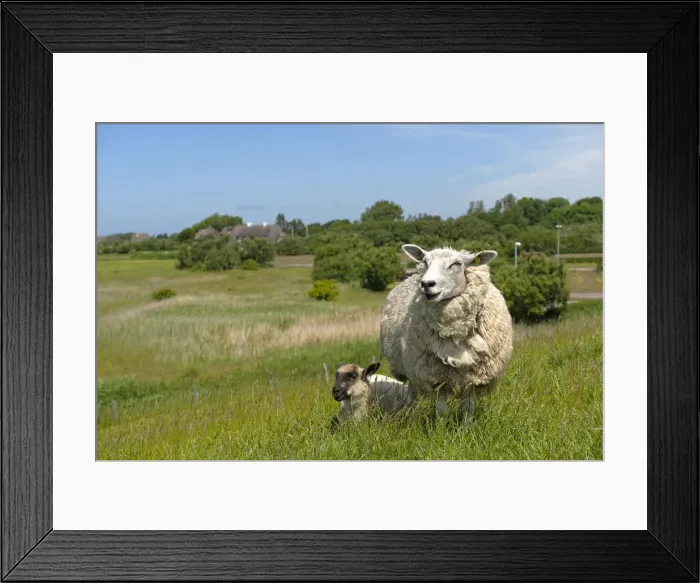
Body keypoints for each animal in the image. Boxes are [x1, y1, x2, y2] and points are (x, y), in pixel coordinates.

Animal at [379, 243, 513, 425]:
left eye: (456, 264)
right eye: (425, 262)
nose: (426, 284)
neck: (455, 331)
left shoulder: (473, 377)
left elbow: (468, 408)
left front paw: (466, 428)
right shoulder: (437, 376)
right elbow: (442, 410)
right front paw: (440, 429)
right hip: (408, 369)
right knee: (412, 394)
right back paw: (411, 416)